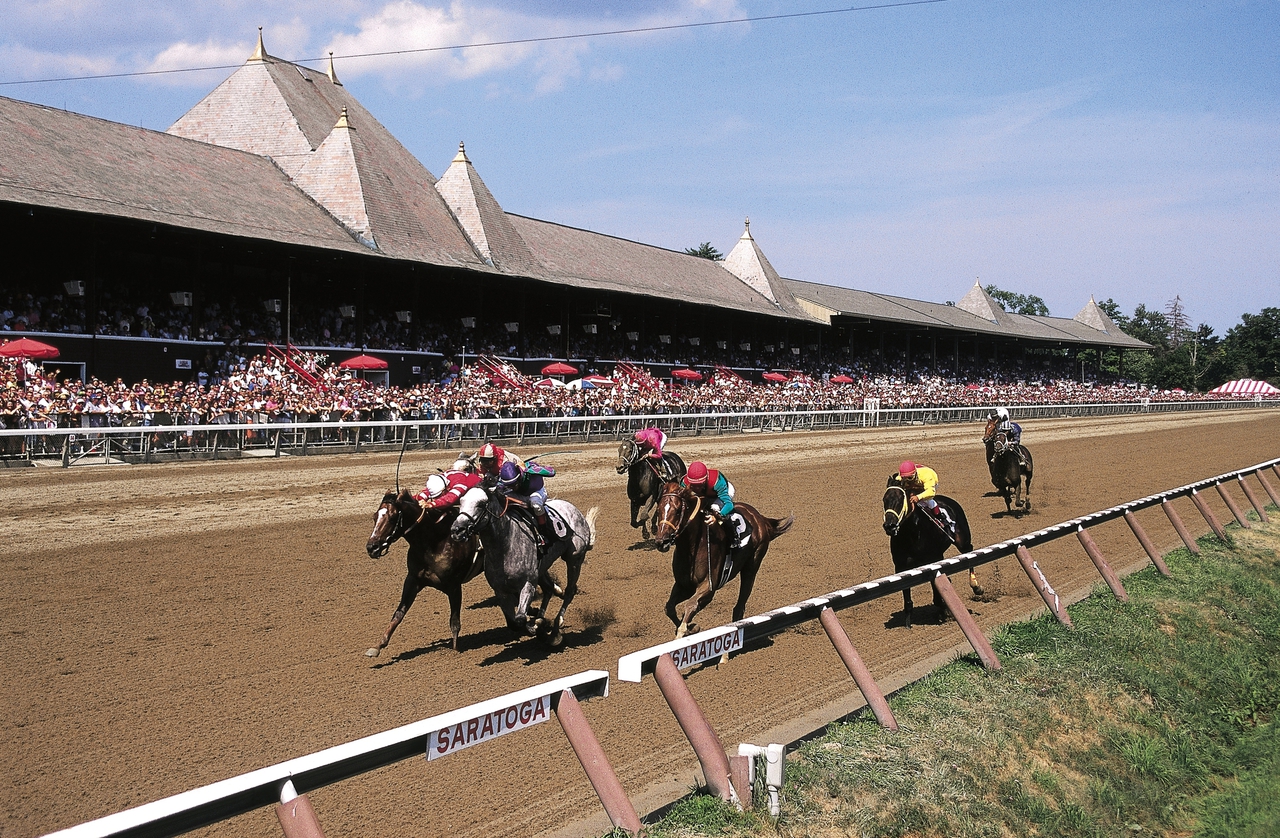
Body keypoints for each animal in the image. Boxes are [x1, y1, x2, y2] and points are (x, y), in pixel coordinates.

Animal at [366, 488, 483, 660]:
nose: (371, 547)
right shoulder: (413, 580)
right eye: (375, 516)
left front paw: (455, 651)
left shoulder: (454, 586)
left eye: (393, 517)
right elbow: (398, 614)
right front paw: (377, 646)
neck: (434, 542)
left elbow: (454, 621)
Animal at [453, 486, 596, 642]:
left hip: (574, 559)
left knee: (570, 591)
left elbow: (520, 619)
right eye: (461, 502)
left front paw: (536, 627)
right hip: (542, 568)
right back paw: (542, 617)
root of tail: (575, 511)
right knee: (548, 588)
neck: (505, 547)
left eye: (481, 504)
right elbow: (513, 623)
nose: (456, 530)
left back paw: (556, 627)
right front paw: (538, 624)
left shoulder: (527, 584)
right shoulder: (500, 591)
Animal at [655, 481, 793, 639]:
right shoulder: (684, 585)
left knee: (740, 604)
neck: (693, 547)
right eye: (658, 510)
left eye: (678, 511)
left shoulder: (708, 587)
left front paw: (686, 629)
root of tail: (759, 517)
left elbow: (691, 605)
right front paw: (692, 628)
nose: (661, 542)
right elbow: (669, 608)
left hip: (752, 566)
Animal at [885, 481, 972, 626]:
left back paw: (975, 586)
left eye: (901, 500)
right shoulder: (900, 566)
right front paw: (907, 622)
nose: (889, 526)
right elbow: (906, 592)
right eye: (884, 500)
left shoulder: (932, 560)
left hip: (962, 542)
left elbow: (936, 588)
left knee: (970, 551)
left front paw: (943, 609)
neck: (912, 533)